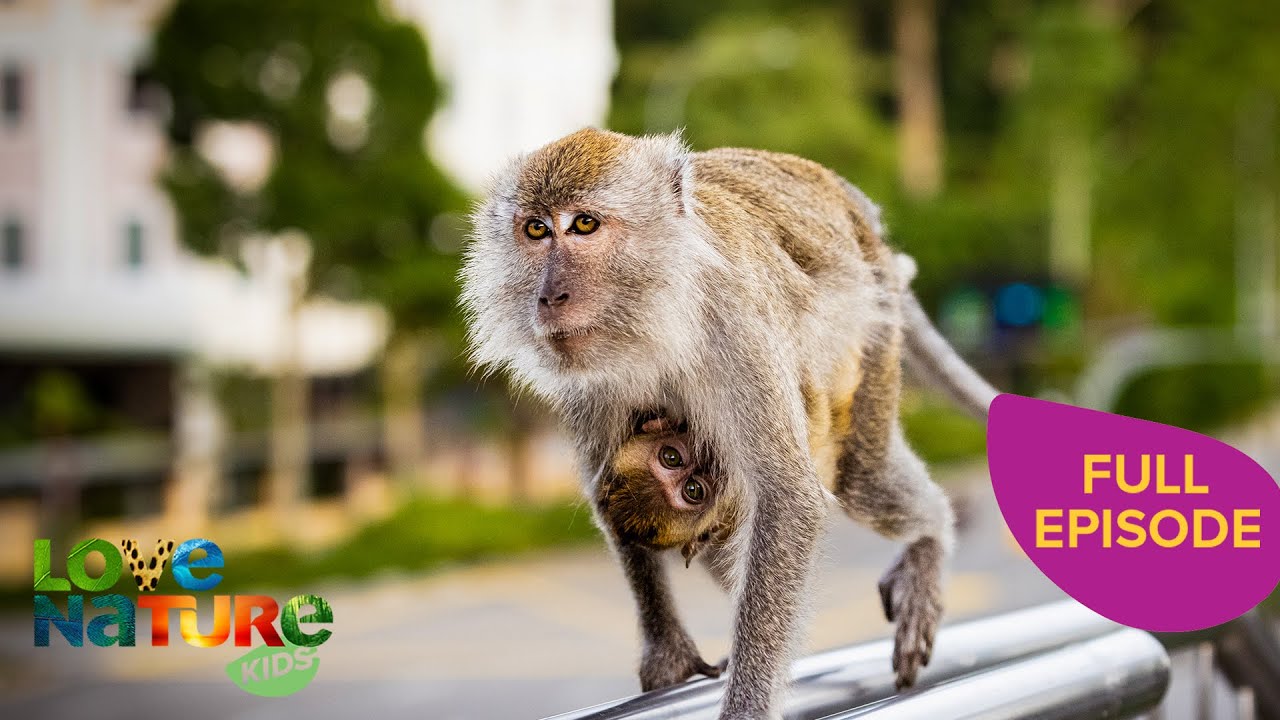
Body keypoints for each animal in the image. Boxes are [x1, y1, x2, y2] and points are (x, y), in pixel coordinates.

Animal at [460, 128, 999, 719]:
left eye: (583, 224)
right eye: (535, 230)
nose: (549, 295)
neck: (658, 312)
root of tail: (854, 207)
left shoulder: (734, 327)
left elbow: (789, 499)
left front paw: (747, 705)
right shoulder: (589, 382)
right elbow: (611, 494)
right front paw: (666, 646)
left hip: (874, 328)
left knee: (863, 476)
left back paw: (931, 537)